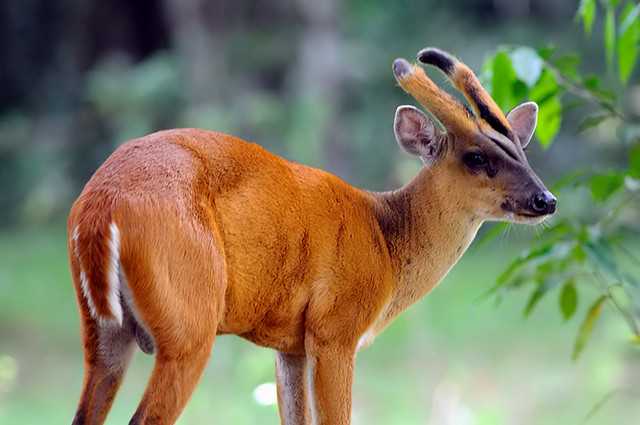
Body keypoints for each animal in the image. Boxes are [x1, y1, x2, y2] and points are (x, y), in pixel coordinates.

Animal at [69, 48, 556, 422]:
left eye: (521, 147)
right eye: (476, 157)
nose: (545, 200)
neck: (386, 240)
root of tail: (99, 206)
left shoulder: (290, 344)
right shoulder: (335, 328)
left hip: (102, 330)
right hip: (189, 323)